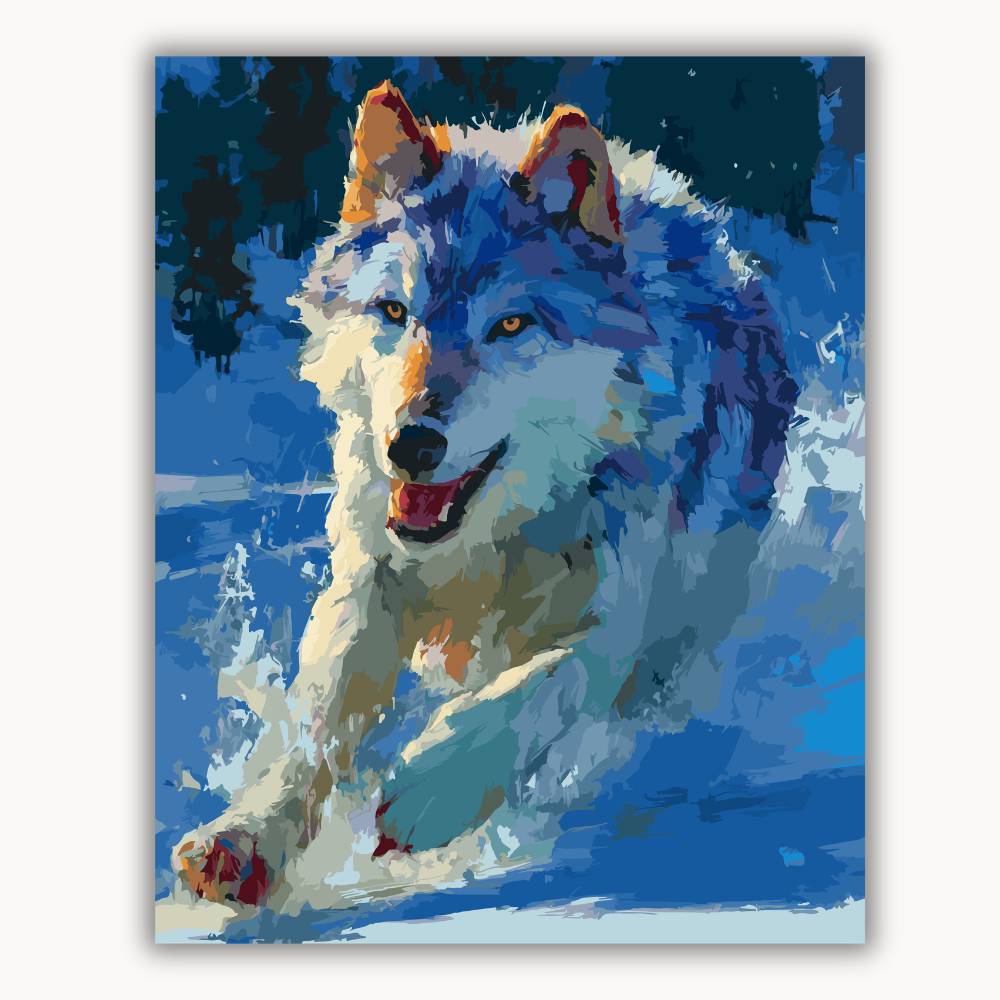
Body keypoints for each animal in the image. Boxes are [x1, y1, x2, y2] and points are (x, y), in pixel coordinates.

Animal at [173, 81, 797, 910]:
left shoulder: (618, 620)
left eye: (509, 324)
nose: (411, 445)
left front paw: (431, 787)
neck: (494, 542)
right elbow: (316, 724)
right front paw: (244, 836)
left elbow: (539, 685)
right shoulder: (369, 580)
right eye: (394, 313)